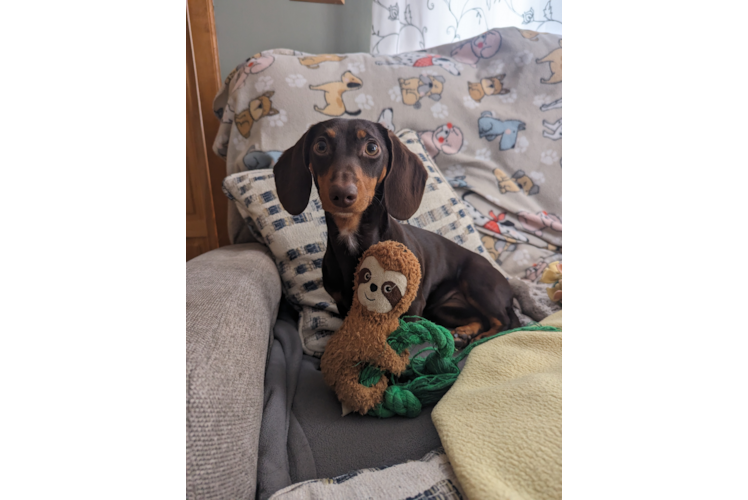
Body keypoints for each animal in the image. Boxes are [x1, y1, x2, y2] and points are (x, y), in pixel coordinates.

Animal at [274, 120, 520, 348]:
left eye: (372, 147)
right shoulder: (345, 305)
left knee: (504, 322)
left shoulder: (411, 307)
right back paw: (464, 333)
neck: (354, 239)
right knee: (481, 319)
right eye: (321, 146)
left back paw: (482, 338)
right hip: (442, 309)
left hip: (478, 283)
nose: (342, 194)